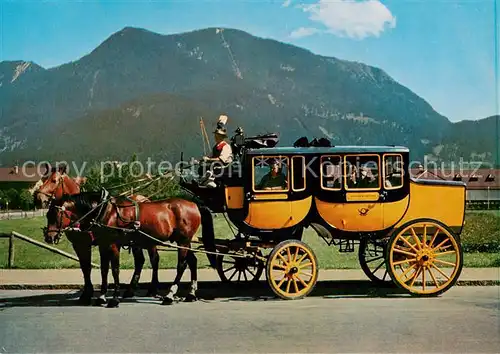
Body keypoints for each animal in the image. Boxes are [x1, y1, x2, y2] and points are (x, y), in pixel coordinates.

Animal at [35, 167, 163, 302]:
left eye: (54, 180)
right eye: (43, 178)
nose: (38, 197)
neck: (91, 212)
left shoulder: (101, 244)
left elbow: (103, 267)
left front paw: (98, 294)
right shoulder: (79, 245)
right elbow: (86, 267)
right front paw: (88, 293)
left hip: (148, 240)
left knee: (154, 259)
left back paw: (152, 289)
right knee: (139, 260)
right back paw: (130, 290)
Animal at [44, 191, 210, 306]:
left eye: (56, 214)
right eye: (47, 214)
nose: (49, 237)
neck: (104, 211)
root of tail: (194, 205)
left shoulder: (112, 245)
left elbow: (115, 270)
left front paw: (114, 298)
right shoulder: (103, 245)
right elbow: (104, 270)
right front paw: (102, 296)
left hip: (183, 241)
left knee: (181, 265)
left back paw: (169, 295)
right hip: (183, 241)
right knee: (192, 261)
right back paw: (191, 293)